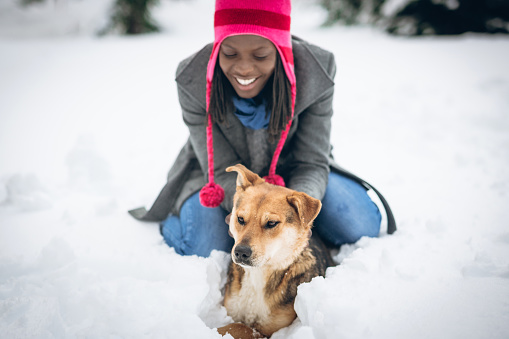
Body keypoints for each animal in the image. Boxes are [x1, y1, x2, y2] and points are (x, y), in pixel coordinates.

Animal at [215, 165, 332, 339]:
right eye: (240, 219)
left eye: (271, 223)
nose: (241, 252)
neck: (258, 275)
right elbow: (237, 324)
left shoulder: (268, 331)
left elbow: (240, 327)